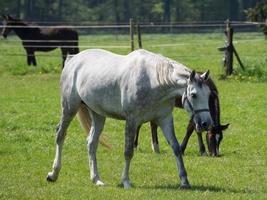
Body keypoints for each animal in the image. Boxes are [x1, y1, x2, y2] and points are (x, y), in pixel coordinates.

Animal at [46, 48, 214, 189]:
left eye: (208, 94)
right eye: (194, 95)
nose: (206, 123)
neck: (154, 81)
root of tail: (72, 60)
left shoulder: (164, 119)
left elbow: (176, 148)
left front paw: (184, 181)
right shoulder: (132, 121)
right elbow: (128, 152)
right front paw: (126, 181)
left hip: (98, 115)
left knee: (91, 143)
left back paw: (96, 179)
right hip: (69, 108)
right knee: (60, 135)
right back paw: (53, 174)